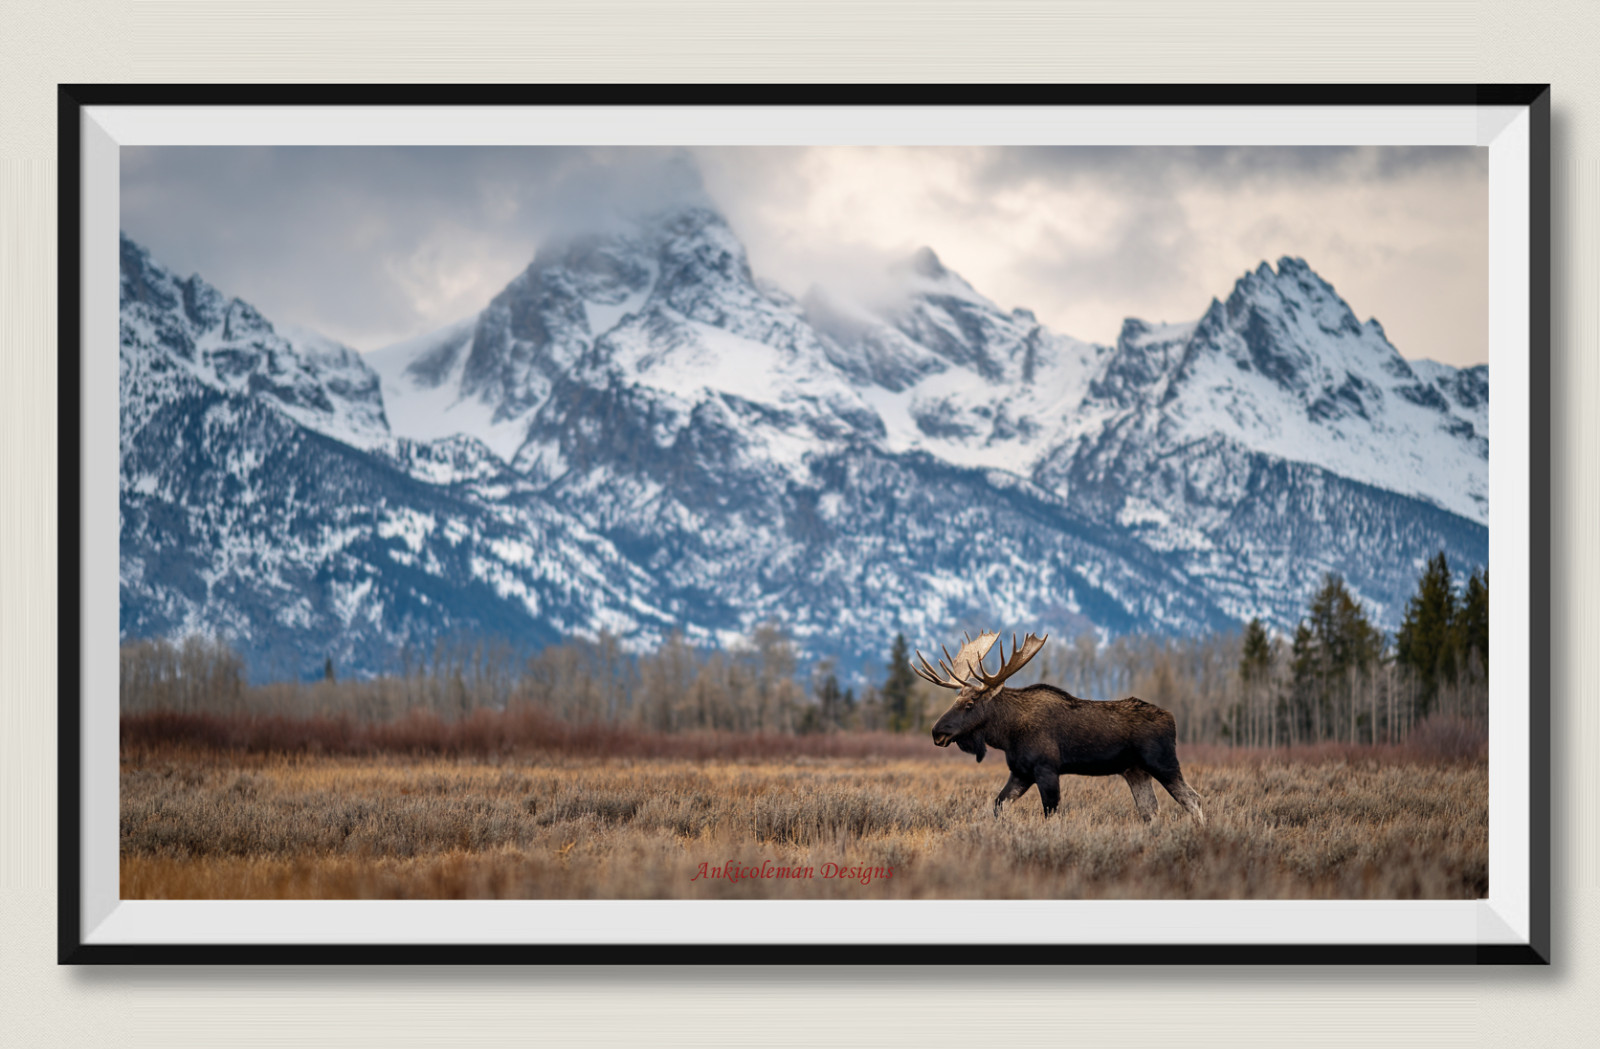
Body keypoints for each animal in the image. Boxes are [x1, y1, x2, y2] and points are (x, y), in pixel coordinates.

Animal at [913, 631, 1205, 824]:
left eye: (970, 703)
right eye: (955, 700)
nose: (937, 732)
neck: (1007, 734)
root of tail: (1172, 719)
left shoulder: (1047, 769)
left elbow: (1050, 814)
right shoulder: (1021, 772)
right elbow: (998, 805)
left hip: (1163, 763)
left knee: (1193, 799)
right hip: (1135, 771)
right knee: (1151, 811)